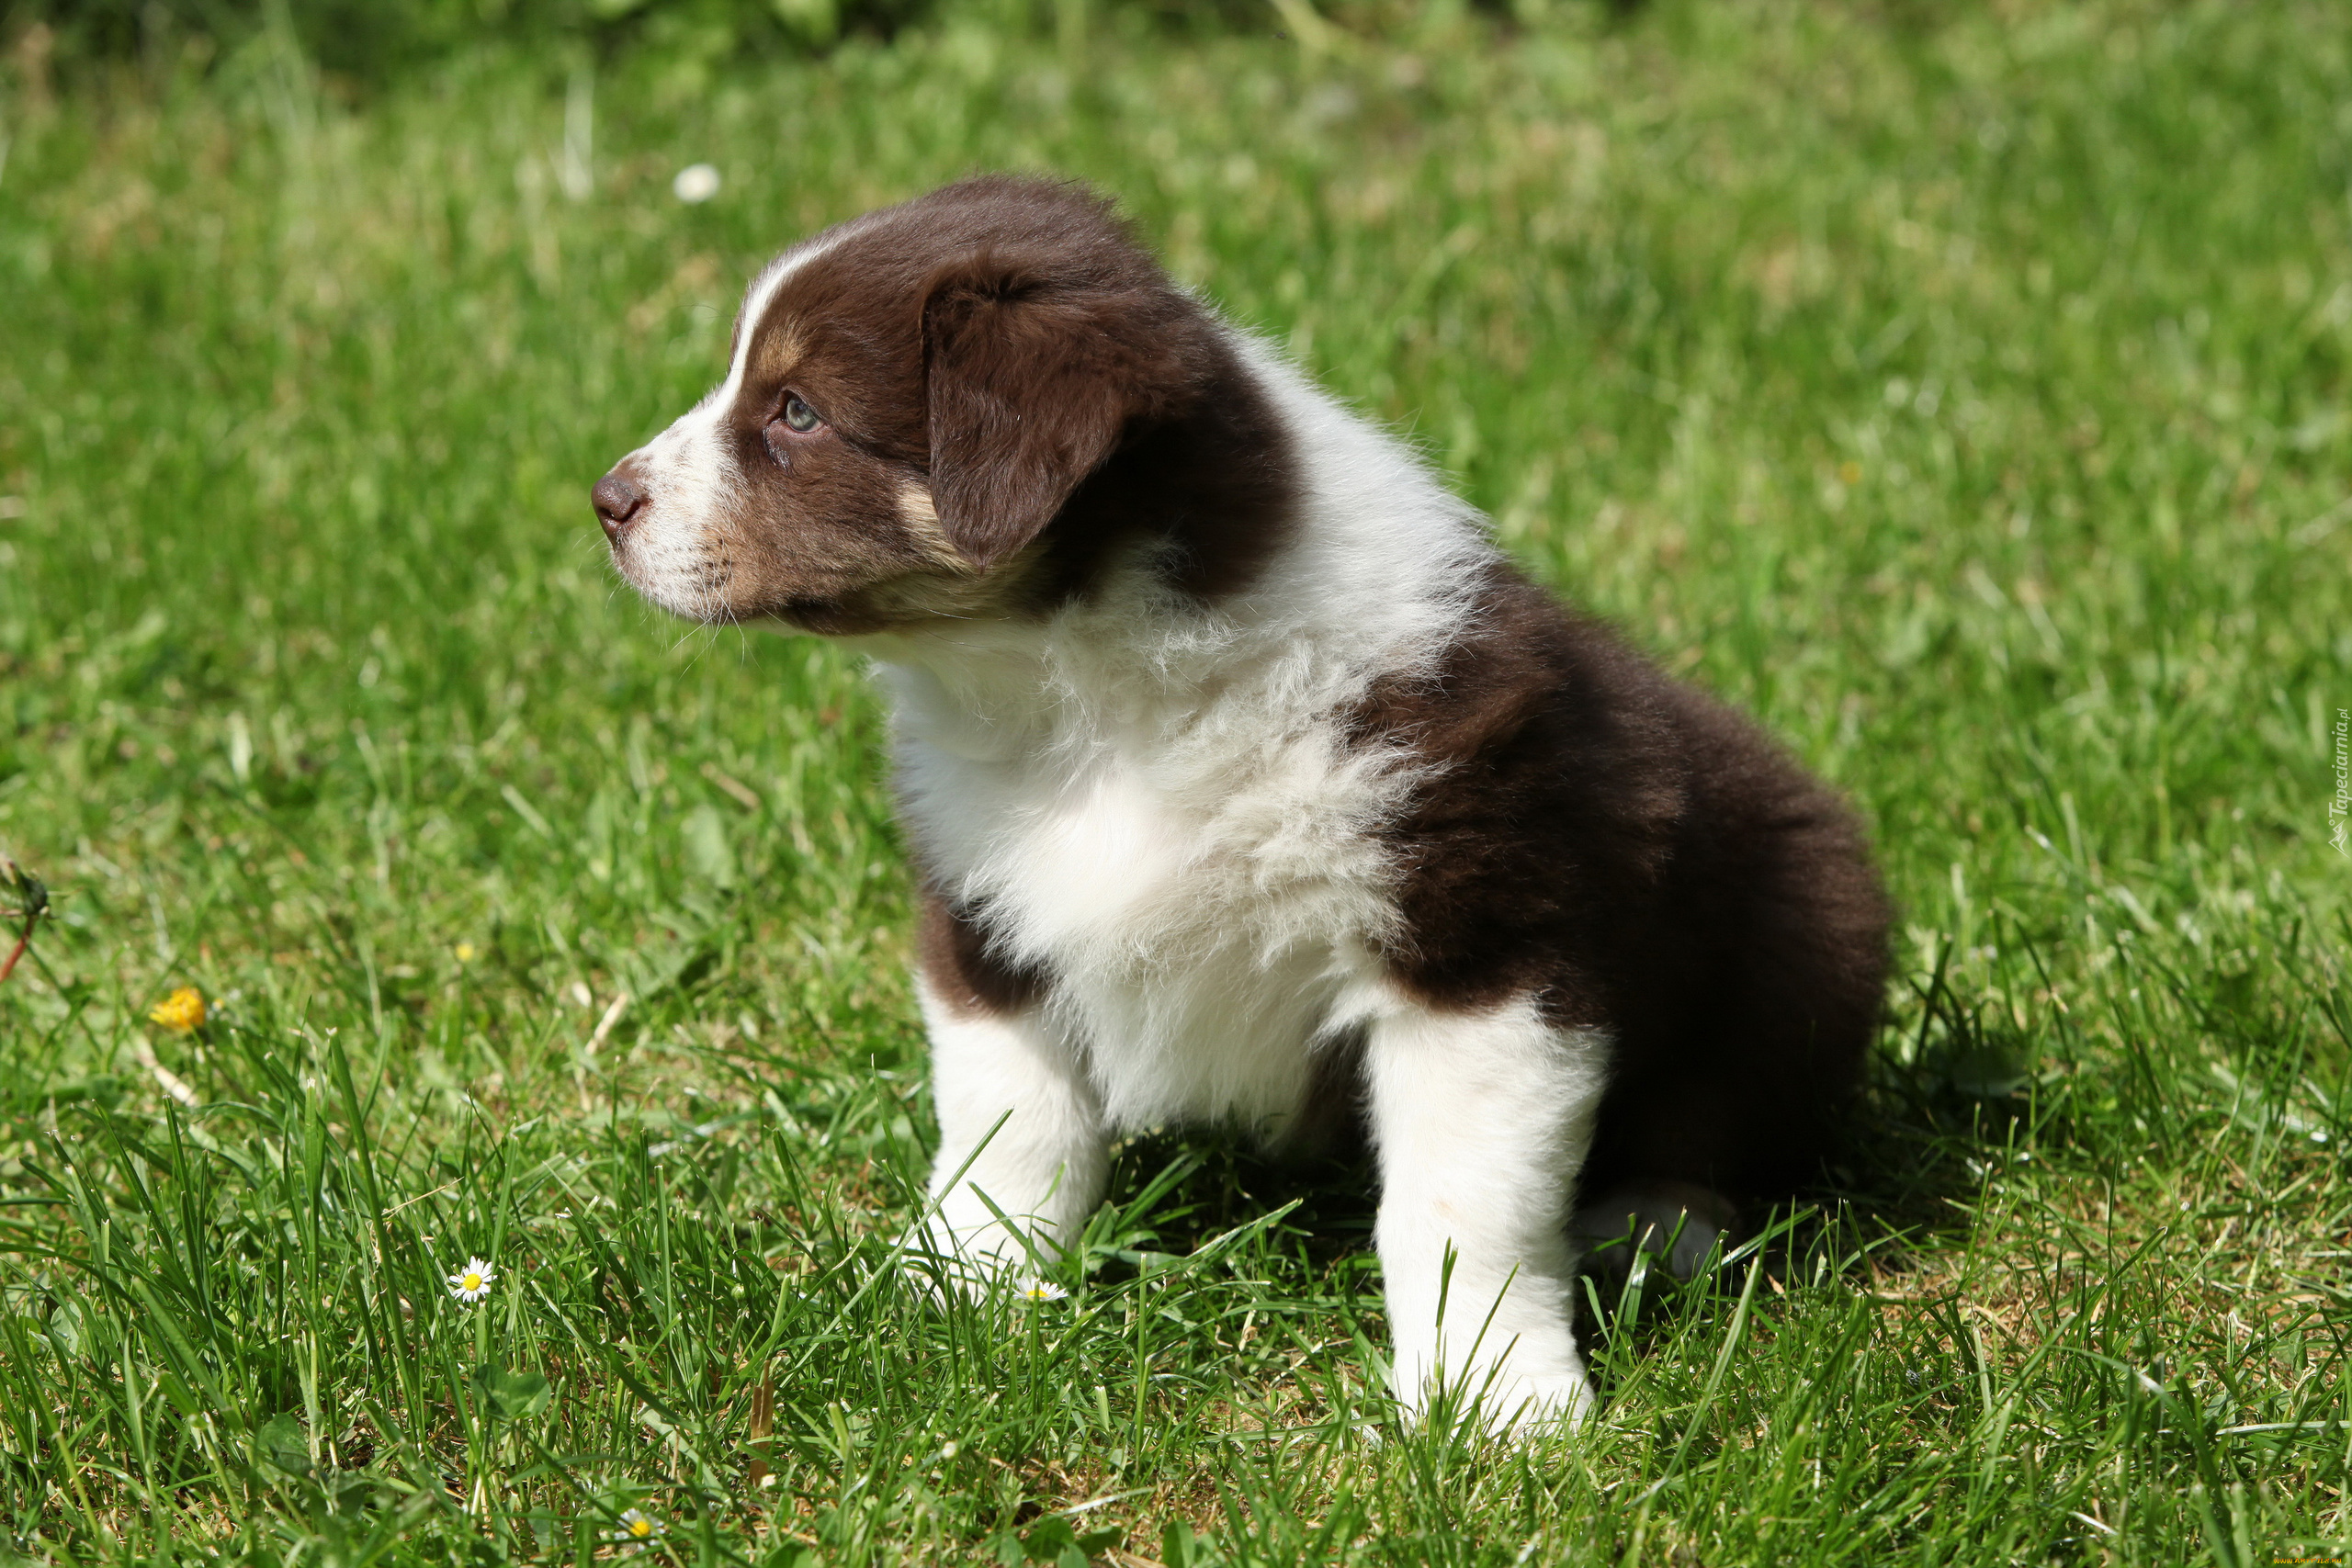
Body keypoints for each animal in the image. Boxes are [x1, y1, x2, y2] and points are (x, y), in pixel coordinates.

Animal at [593, 177, 1891, 1429]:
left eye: (796, 412)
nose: (605, 500)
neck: (1089, 698)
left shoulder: (1485, 947)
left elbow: (1460, 1207)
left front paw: (1496, 1406)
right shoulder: (984, 921)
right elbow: (1006, 1131)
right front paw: (961, 1294)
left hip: (1807, 927)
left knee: (1722, 1113)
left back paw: (1655, 1230)